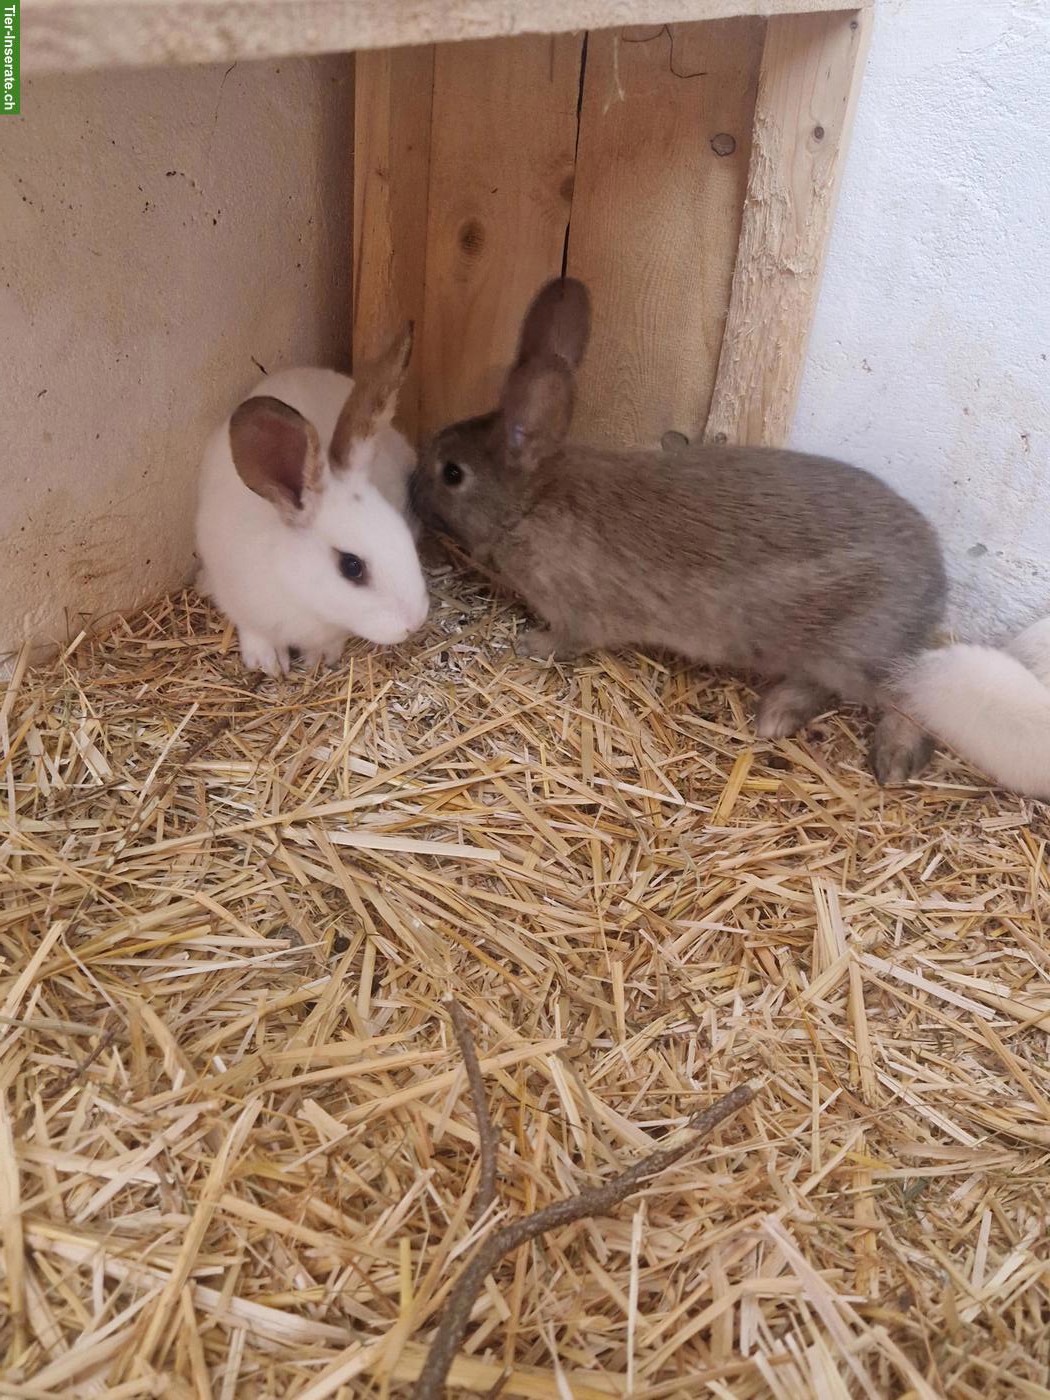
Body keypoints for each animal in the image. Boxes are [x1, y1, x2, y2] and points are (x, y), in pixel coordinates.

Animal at [196, 325, 430, 677]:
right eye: (351, 567)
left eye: (404, 535)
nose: (414, 622)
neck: (302, 599)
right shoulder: (232, 594)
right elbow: (251, 628)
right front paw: (268, 663)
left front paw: (319, 658)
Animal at [411, 277, 1050, 799]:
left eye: (452, 473)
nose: (414, 486)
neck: (530, 501)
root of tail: (934, 587)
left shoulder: (576, 611)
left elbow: (567, 639)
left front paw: (529, 647)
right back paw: (775, 716)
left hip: (852, 651)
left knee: (906, 700)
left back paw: (887, 758)